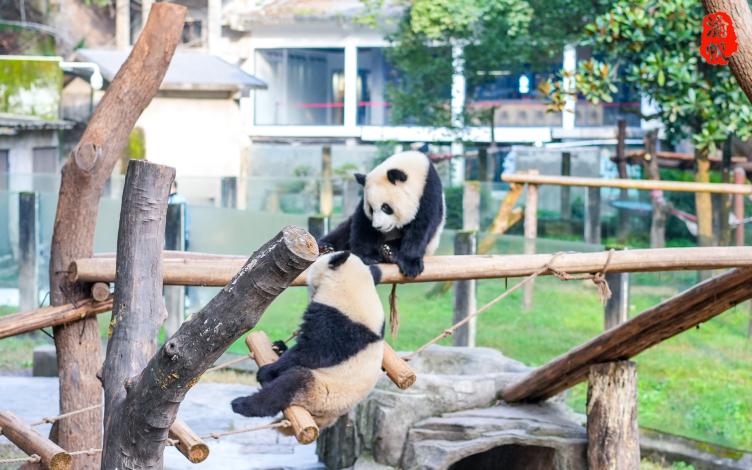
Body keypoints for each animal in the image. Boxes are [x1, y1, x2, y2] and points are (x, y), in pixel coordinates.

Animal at [231, 252, 384, 432]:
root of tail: (329, 417)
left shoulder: (339, 325)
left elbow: (311, 353)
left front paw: (268, 370)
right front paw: (280, 351)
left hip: (321, 392)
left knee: (287, 386)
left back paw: (242, 403)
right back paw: (279, 348)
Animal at [316, 151, 444, 278]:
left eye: (386, 207)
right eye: (371, 209)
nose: (378, 226)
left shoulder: (429, 194)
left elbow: (421, 227)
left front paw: (410, 264)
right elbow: (363, 224)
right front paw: (368, 256)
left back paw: (389, 251)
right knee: (342, 231)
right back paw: (325, 248)